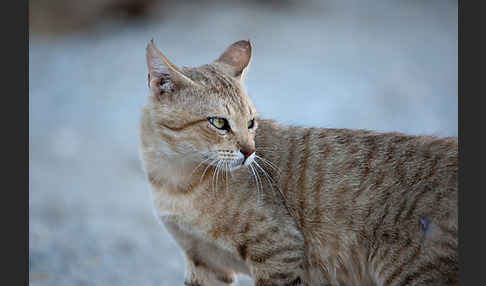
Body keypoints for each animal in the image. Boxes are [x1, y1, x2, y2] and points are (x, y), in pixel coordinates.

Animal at [139, 39, 458, 284]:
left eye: (251, 122)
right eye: (219, 122)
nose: (249, 151)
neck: (175, 183)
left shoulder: (279, 250)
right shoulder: (205, 262)